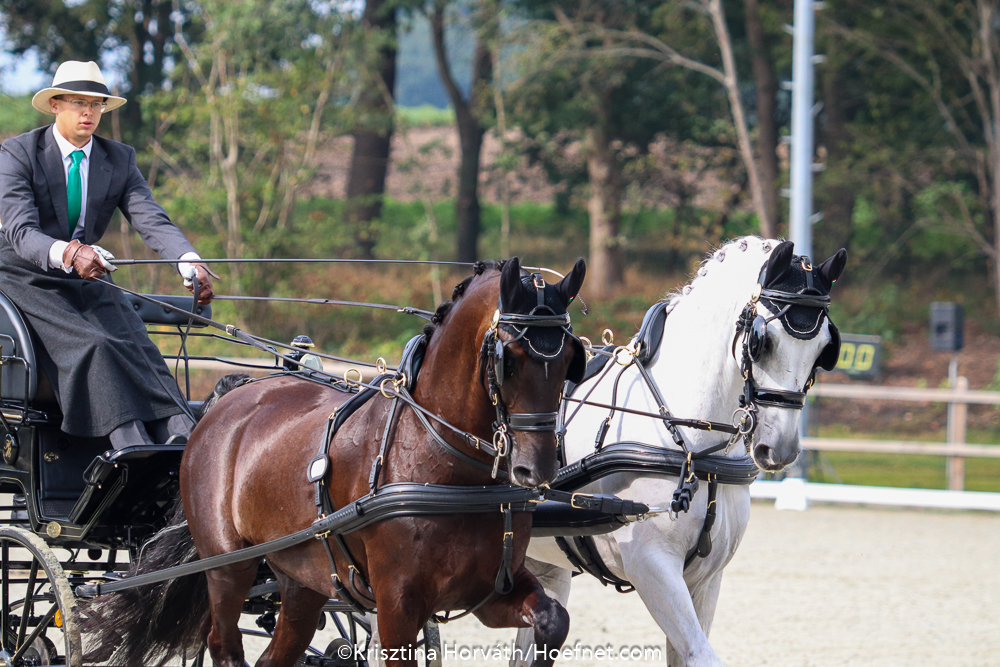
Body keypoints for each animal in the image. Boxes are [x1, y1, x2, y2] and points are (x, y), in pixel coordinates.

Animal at [83, 257, 587, 667]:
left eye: (570, 361)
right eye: (510, 358)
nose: (537, 470)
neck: (444, 463)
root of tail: (223, 403)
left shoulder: (489, 590)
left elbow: (553, 621)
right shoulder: (398, 605)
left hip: (301, 580)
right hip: (227, 566)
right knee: (224, 645)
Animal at [514, 238, 846, 666]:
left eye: (824, 349)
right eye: (763, 342)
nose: (782, 449)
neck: (693, 447)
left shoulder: (705, 577)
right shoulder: (651, 567)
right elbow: (703, 655)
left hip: (544, 567)